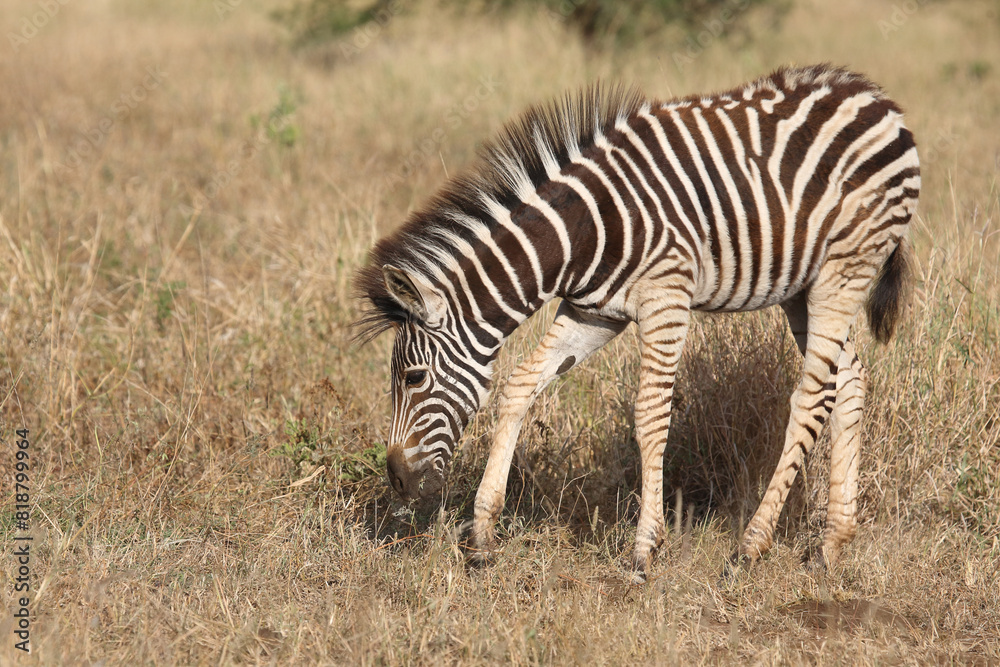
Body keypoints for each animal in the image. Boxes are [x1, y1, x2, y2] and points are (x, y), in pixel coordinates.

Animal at [355, 64, 919, 580]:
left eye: (413, 378)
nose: (397, 480)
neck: (582, 235)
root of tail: (874, 96)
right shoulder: (592, 312)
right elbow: (519, 386)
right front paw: (481, 535)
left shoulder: (666, 297)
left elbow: (650, 415)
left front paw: (645, 549)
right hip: (804, 287)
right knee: (849, 381)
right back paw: (832, 544)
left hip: (845, 268)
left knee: (811, 398)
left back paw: (751, 546)